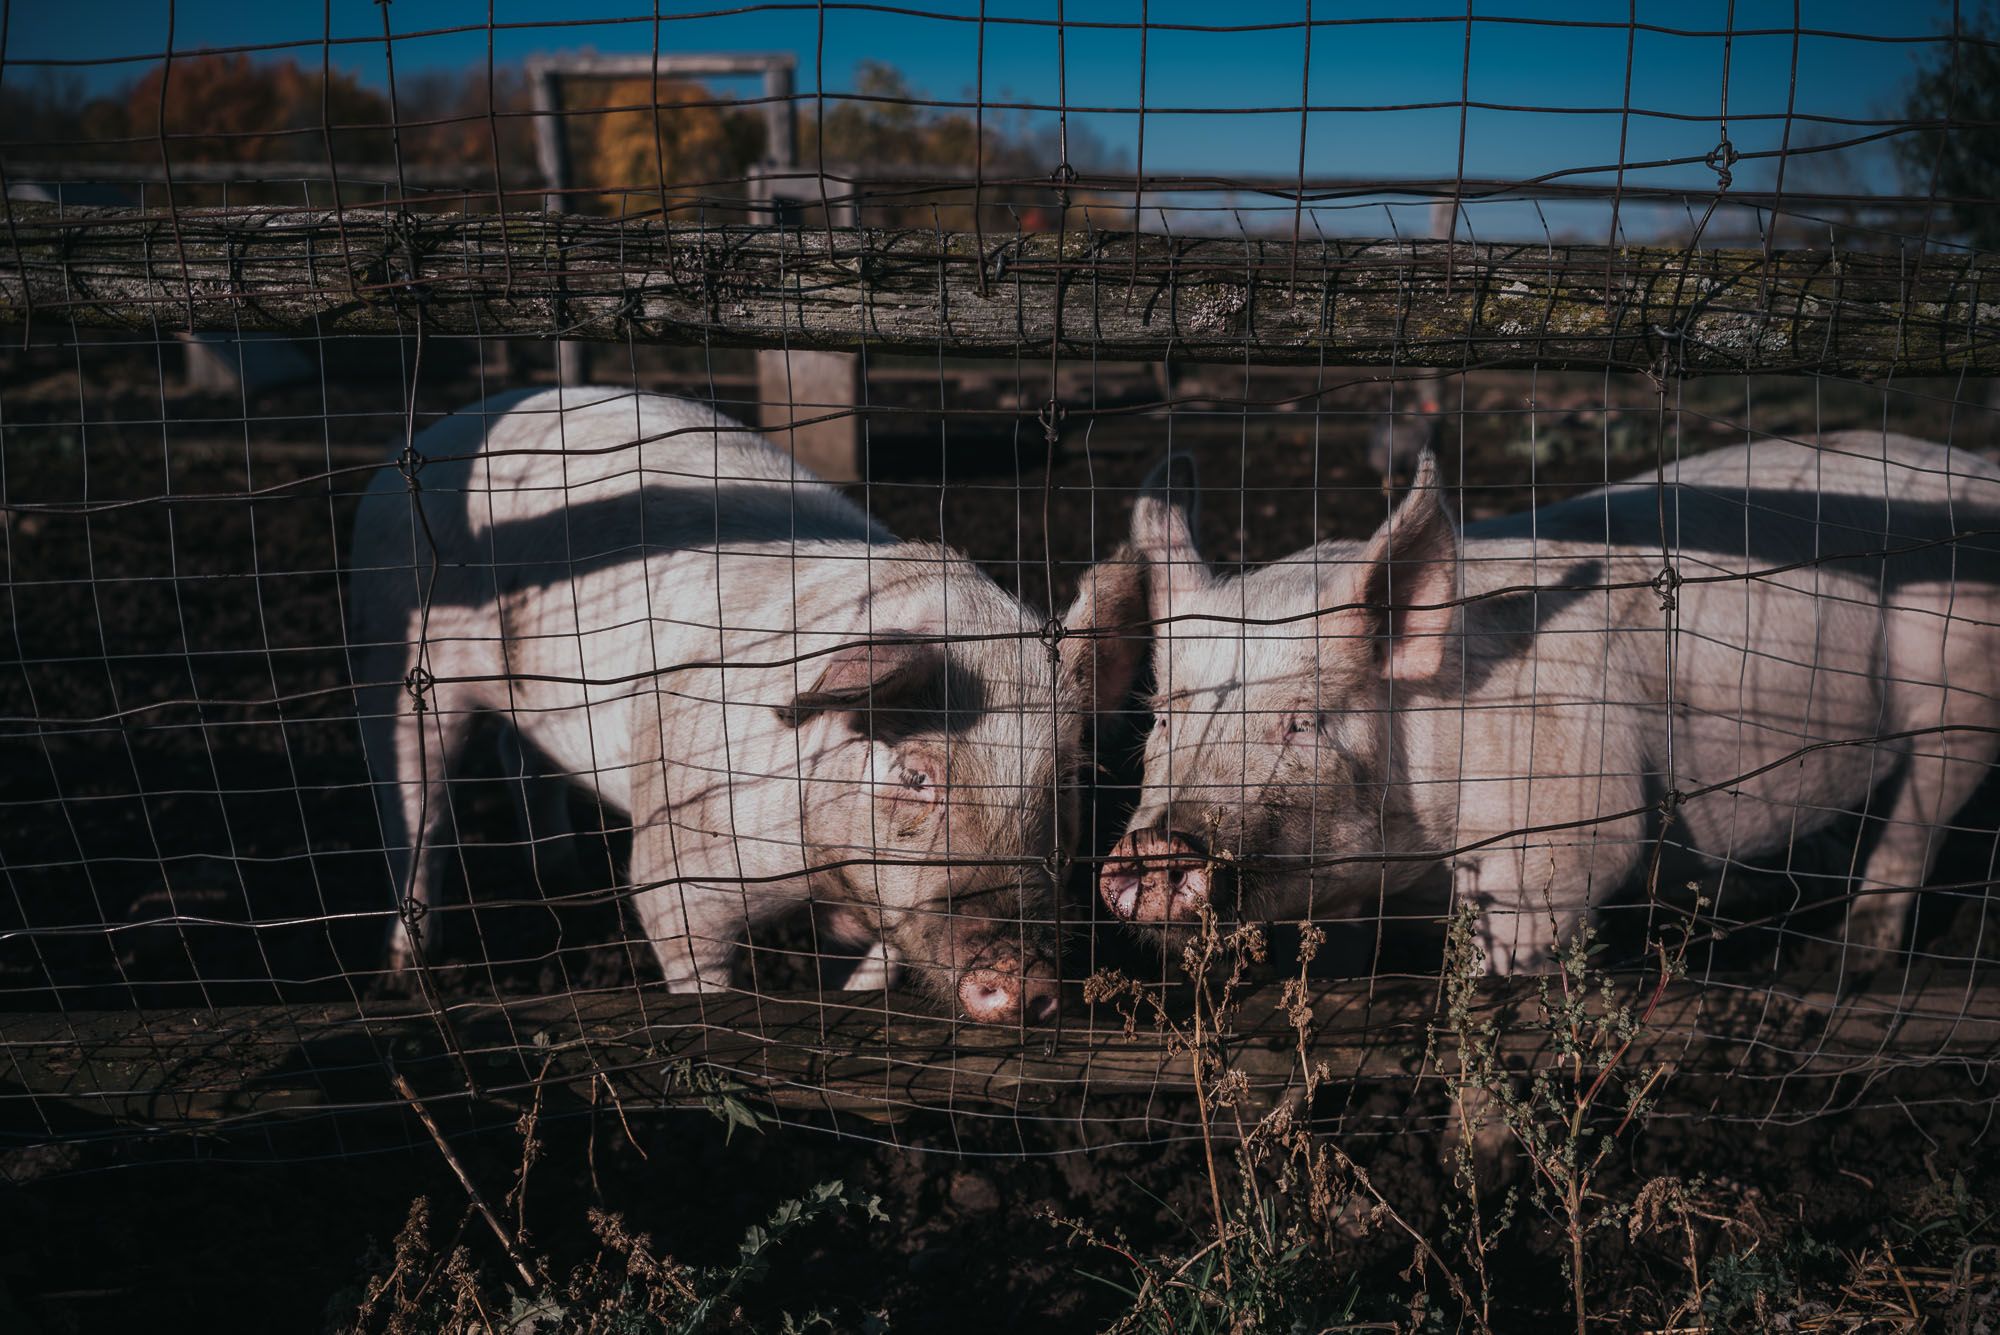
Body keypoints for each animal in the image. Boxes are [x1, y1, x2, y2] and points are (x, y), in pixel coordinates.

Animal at [348, 387, 1142, 1021]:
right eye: (916, 775)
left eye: (1064, 782)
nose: (1027, 978)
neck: (824, 879)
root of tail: (429, 437)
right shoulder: (679, 852)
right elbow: (686, 947)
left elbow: (884, 958)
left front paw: (857, 1000)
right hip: (395, 657)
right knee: (415, 810)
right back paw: (409, 971)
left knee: (524, 760)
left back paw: (562, 877)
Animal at [1099, 432, 2000, 972]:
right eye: (1164, 716)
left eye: (1302, 720)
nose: (1152, 845)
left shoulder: (1568, 822)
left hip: (1964, 679)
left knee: (1926, 805)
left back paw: (1848, 957)